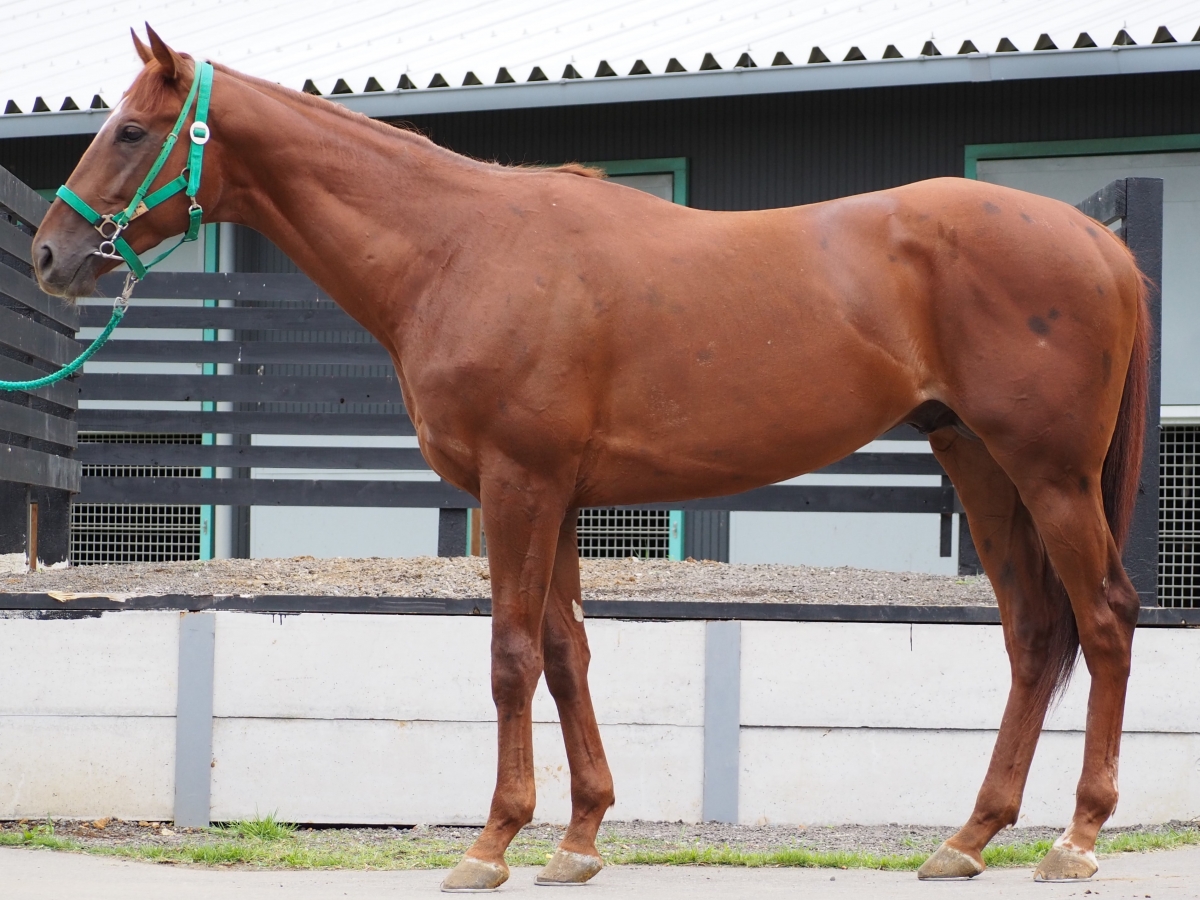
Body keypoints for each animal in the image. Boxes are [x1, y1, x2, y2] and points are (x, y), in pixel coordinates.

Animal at [33, 27, 1149, 891]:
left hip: (1048, 475)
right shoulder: (559, 493)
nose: (48, 254)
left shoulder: (519, 485)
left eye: (131, 130)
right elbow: (568, 653)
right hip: (980, 463)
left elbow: (512, 656)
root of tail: (1099, 242)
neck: (461, 246)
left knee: (1102, 621)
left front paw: (490, 844)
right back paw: (969, 838)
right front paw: (577, 839)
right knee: (1033, 635)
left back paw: (1077, 839)